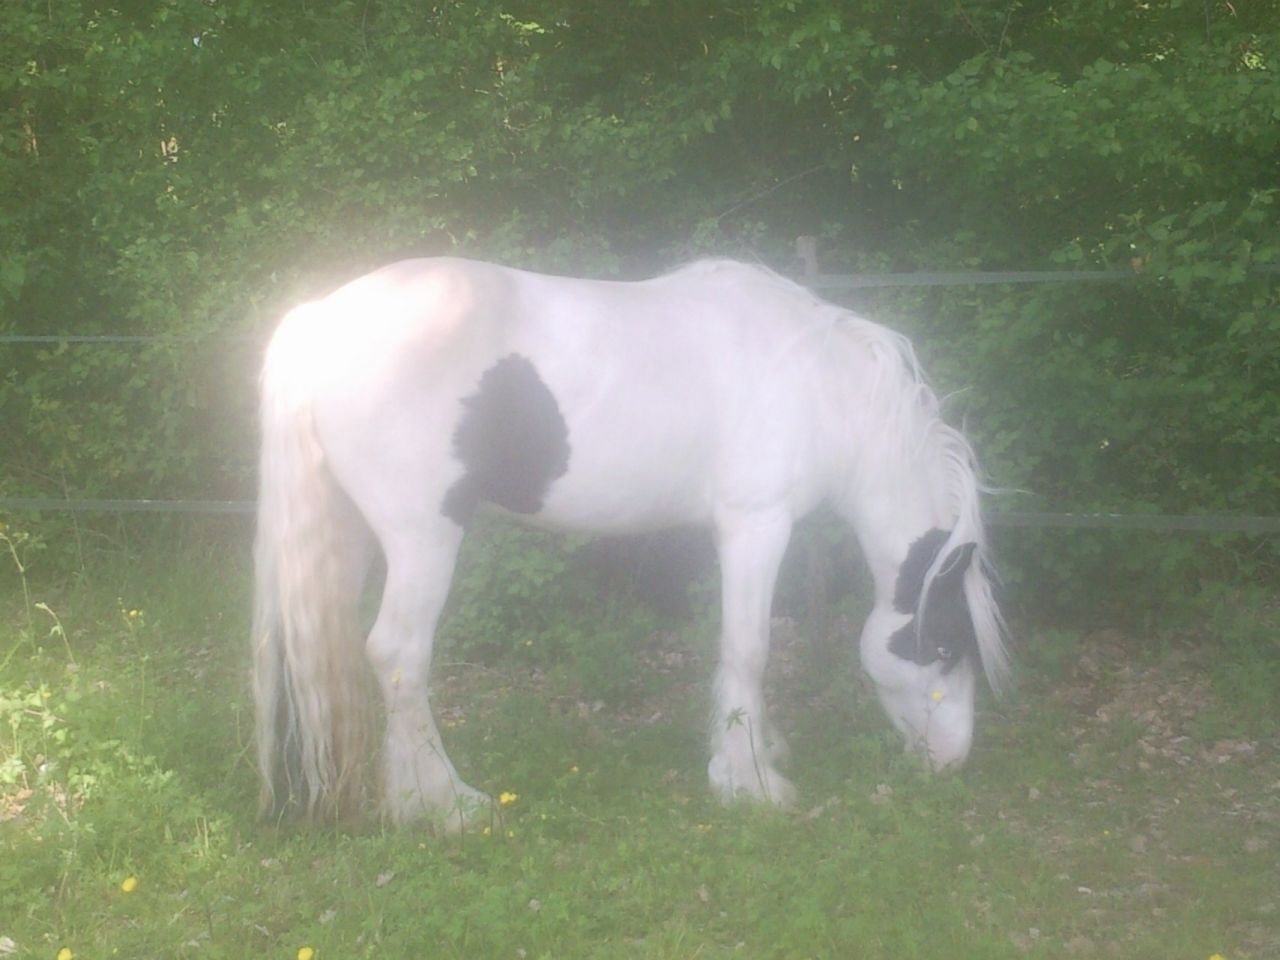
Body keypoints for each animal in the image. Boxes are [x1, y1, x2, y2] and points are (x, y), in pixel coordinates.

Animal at [252, 256, 1009, 829]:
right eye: (945, 645)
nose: (953, 760)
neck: (819, 387)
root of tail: (317, 319)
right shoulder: (756, 525)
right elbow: (750, 649)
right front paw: (749, 783)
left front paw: (760, 754)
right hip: (424, 539)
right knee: (399, 655)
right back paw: (449, 804)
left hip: (349, 537)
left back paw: (399, 799)